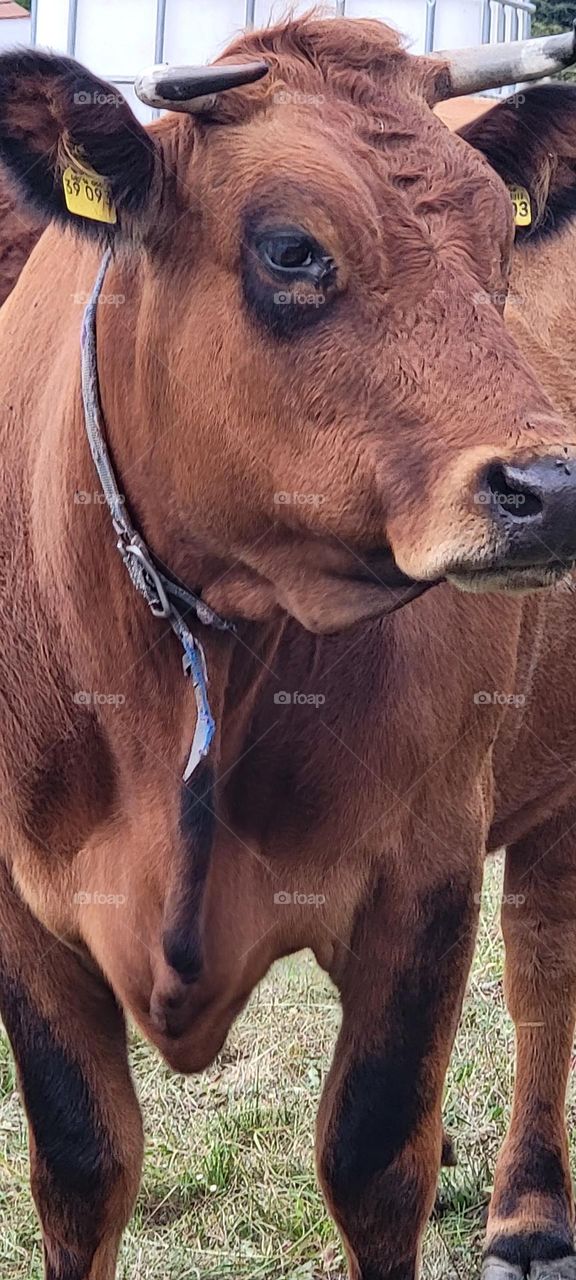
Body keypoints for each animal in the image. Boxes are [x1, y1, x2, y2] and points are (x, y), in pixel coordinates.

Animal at [3, 15, 576, 1280]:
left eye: (497, 245)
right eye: (293, 250)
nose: (555, 487)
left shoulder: (428, 868)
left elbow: (371, 1154)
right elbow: (80, 1158)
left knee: (542, 964)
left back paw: (530, 1212)